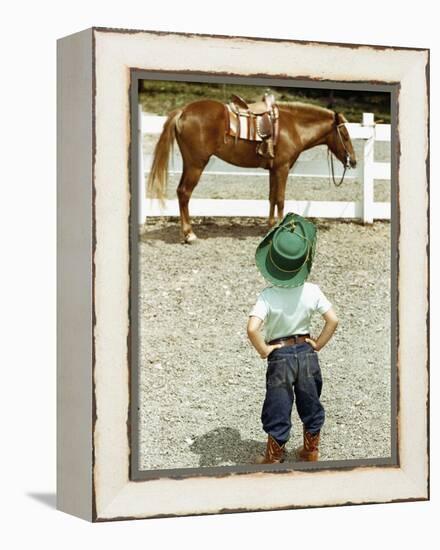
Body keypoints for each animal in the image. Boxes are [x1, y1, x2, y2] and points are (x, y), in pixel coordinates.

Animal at [146, 100, 356, 243]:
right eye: (345, 135)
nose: (353, 161)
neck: (293, 127)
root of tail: (183, 111)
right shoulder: (282, 168)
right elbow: (280, 199)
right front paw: (281, 228)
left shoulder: (273, 170)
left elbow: (272, 198)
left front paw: (271, 227)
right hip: (196, 164)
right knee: (184, 193)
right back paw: (189, 234)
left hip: (189, 164)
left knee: (181, 192)